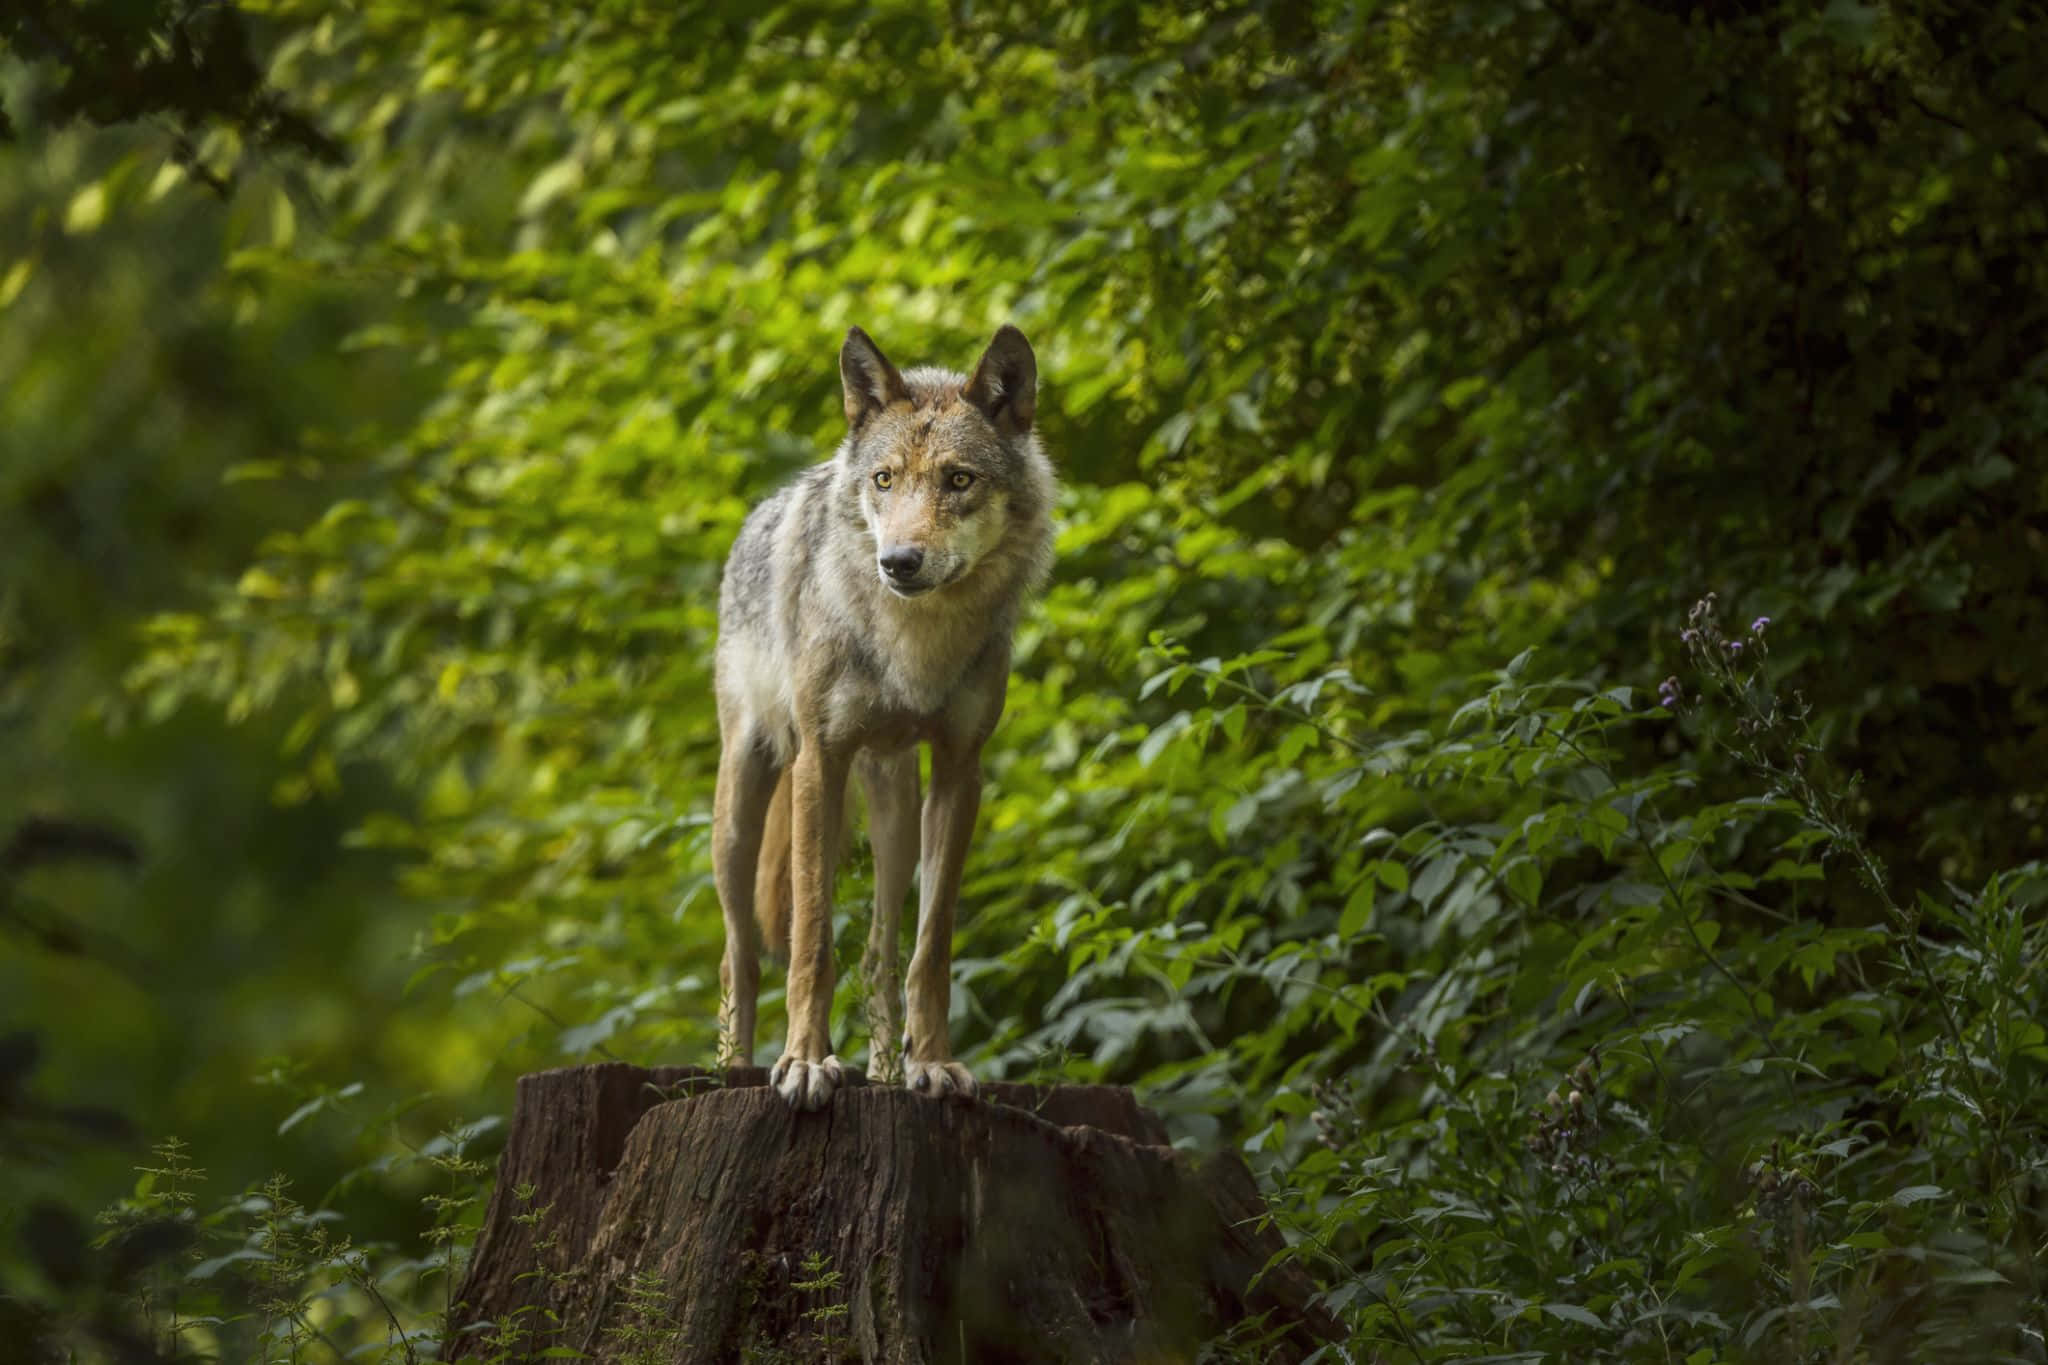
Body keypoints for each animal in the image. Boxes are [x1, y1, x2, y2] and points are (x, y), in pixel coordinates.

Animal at [710, 324, 1055, 1111]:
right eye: (885, 480)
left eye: (958, 480)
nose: (898, 561)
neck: (915, 646)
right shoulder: (820, 760)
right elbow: (810, 939)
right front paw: (805, 1063)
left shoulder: (960, 772)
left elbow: (930, 948)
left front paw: (933, 1064)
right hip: (743, 807)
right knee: (739, 955)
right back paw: (734, 1069)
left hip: (895, 815)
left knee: (877, 953)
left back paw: (886, 1074)